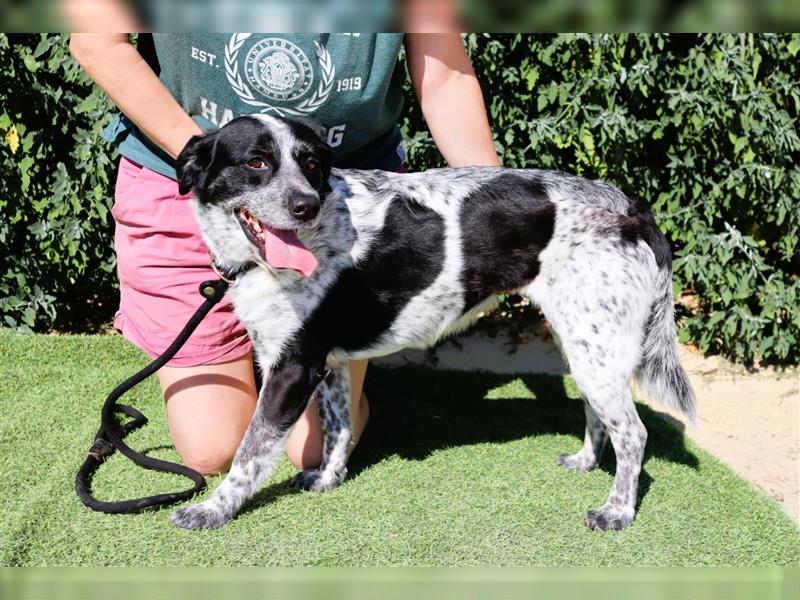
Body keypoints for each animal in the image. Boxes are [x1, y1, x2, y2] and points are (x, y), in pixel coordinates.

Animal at [169, 115, 692, 532]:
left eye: (312, 165)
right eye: (256, 163)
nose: (306, 206)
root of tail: (631, 208)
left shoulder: (294, 368)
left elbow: (249, 453)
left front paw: (213, 510)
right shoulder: (327, 364)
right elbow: (337, 427)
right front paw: (328, 478)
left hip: (595, 347)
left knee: (634, 433)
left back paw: (617, 511)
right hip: (584, 344)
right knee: (599, 413)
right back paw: (585, 461)